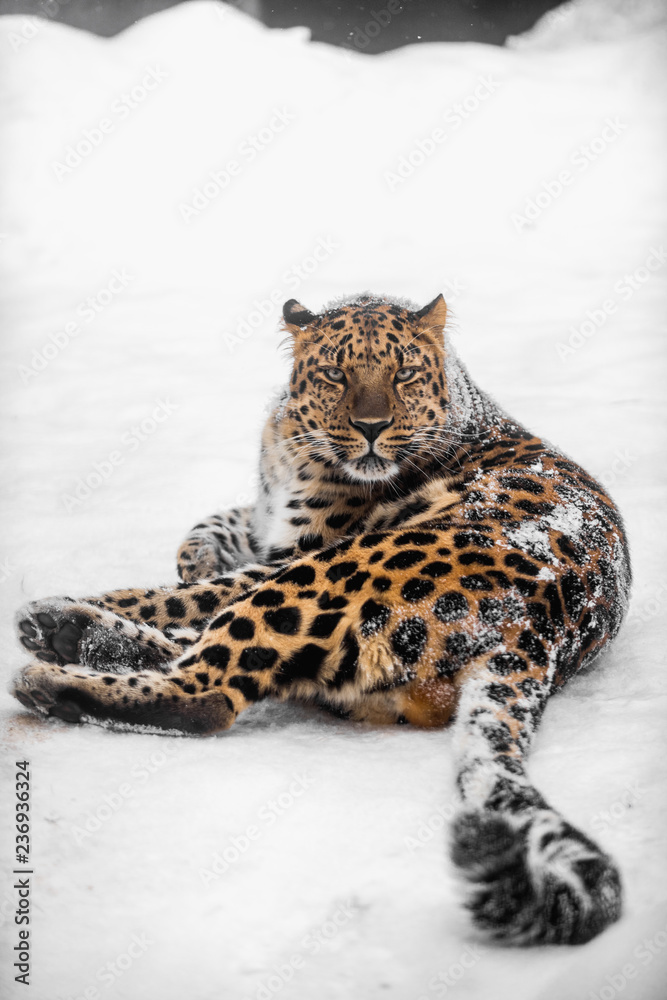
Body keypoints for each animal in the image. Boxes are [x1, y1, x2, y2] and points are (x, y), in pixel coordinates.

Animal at [10, 292, 631, 946]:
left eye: (403, 374)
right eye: (335, 373)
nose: (371, 428)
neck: (288, 446)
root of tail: (541, 632)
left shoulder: (296, 551)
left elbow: (185, 596)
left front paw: (138, 590)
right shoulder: (265, 522)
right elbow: (211, 530)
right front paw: (195, 554)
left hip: (328, 572)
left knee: (205, 688)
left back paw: (54, 661)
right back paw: (67, 633)